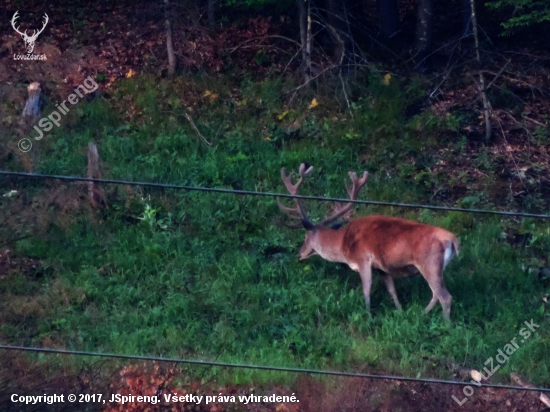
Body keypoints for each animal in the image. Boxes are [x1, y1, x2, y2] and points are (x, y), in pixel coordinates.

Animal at [280, 163, 462, 322]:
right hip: (435, 268)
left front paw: (368, 316)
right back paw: (421, 314)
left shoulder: (363, 259)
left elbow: (366, 290)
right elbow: (392, 290)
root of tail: (452, 239)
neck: (343, 244)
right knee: (435, 294)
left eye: (305, 237)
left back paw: (445, 325)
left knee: (445, 296)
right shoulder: (382, 268)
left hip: (429, 263)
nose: (299, 254)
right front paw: (400, 311)